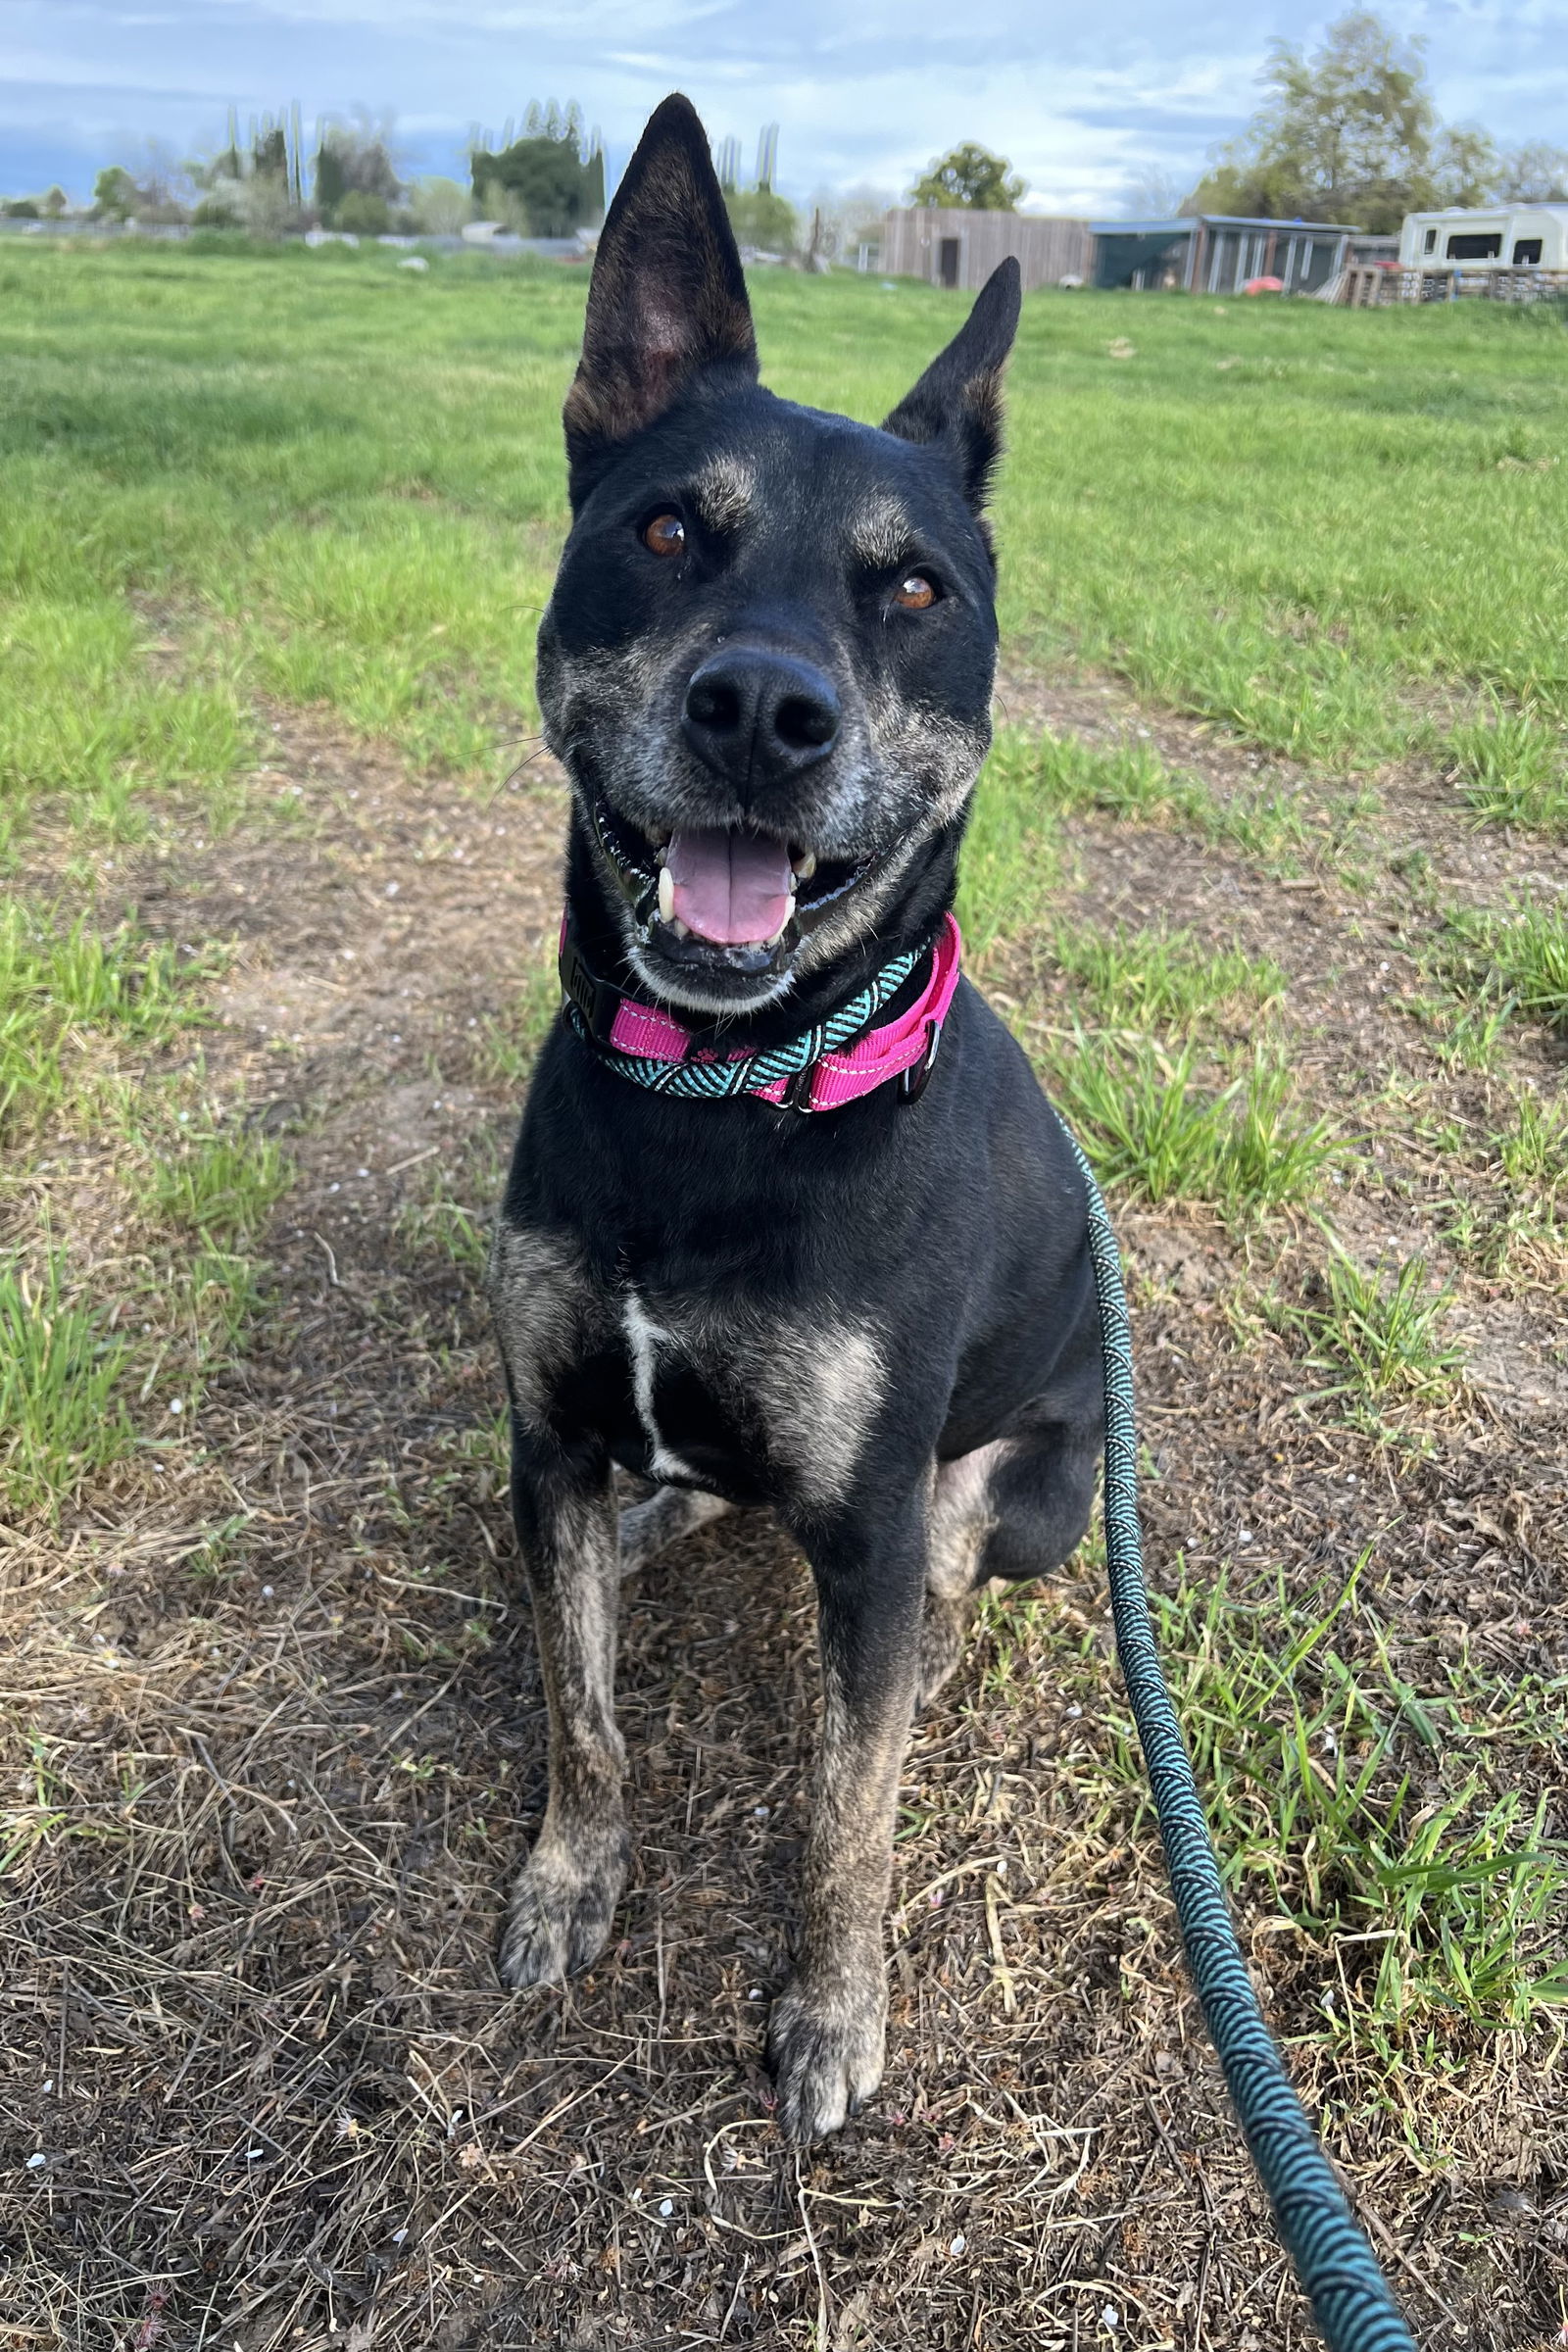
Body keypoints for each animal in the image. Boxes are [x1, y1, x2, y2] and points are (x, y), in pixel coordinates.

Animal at [491, 101, 1104, 2144]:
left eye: (915, 591)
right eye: (668, 529)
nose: (763, 706)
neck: (723, 1095)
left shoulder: (875, 1528)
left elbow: (851, 1805)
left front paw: (833, 2011)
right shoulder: (542, 1434)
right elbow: (581, 1708)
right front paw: (571, 1878)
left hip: (1032, 1495)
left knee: (937, 1586)